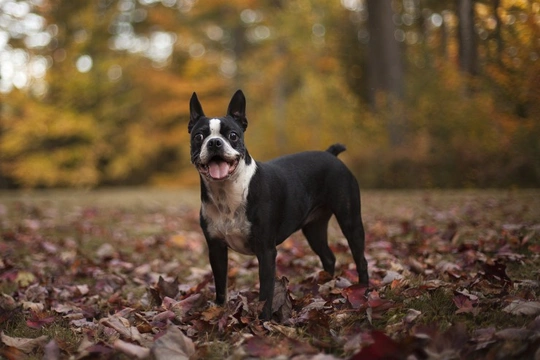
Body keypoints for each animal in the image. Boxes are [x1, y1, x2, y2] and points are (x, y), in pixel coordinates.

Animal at [188, 90, 370, 320]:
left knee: (360, 258)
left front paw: (263, 320)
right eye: (198, 137)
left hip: (350, 220)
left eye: (233, 135)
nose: (214, 143)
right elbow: (221, 286)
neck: (227, 194)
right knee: (328, 257)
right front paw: (218, 312)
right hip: (314, 228)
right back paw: (324, 287)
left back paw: (364, 291)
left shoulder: (266, 251)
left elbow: (266, 291)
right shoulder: (216, 249)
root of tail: (330, 154)